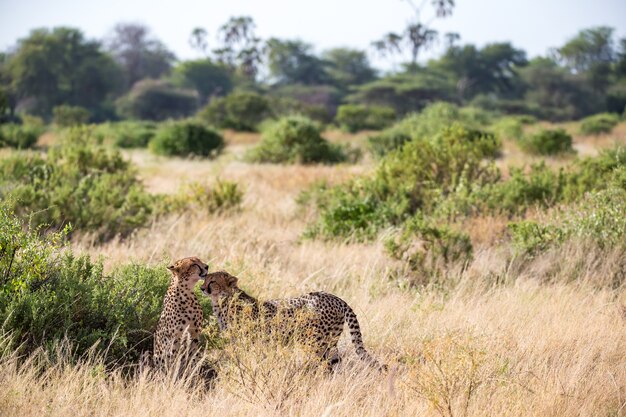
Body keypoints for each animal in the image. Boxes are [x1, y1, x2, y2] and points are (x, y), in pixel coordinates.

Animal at [202, 270, 382, 370]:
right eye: (204, 279)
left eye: (212, 281)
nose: (202, 288)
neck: (222, 299)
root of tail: (335, 297)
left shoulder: (244, 341)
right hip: (329, 342)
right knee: (335, 361)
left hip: (316, 342)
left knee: (325, 364)